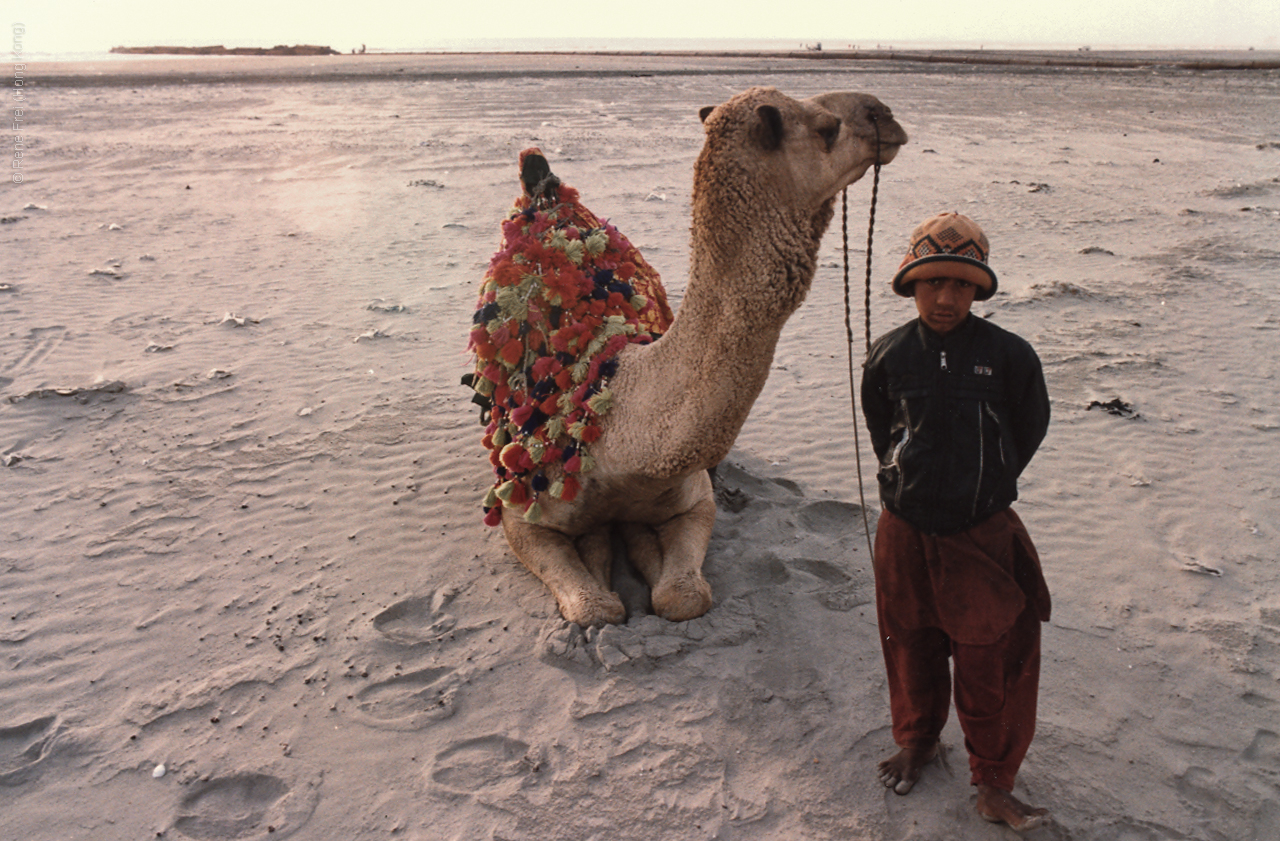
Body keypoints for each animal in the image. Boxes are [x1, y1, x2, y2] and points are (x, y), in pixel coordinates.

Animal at [465, 87, 906, 622]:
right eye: (826, 127)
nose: (885, 113)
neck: (617, 416)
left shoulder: (693, 497)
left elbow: (683, 596)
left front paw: (640, 549)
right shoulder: (521, 510)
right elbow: (595, 608)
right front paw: (603, 567)